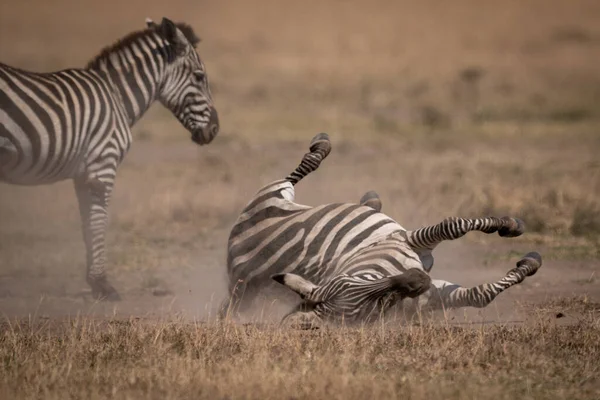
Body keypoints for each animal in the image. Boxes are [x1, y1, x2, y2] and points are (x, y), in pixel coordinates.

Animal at [0, 18, 220, 300]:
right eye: (199, 77)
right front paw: (102, 284)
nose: (215, 129)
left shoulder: (84, 173)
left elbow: (86, 222)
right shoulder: (103, 164)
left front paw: (95, 280)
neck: (117, 97)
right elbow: (98, 221)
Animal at [224, 133, 544, 326]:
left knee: (301, 171)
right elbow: (457, 237)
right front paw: (516, 238)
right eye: (377, 306)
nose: (418, 280)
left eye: (353, 282)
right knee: (297, 171)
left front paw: (512, 234)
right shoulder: (415, 259)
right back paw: (326, 153)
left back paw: (365, 194)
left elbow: (461, 244)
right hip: (271, 195)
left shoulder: (409, 246)